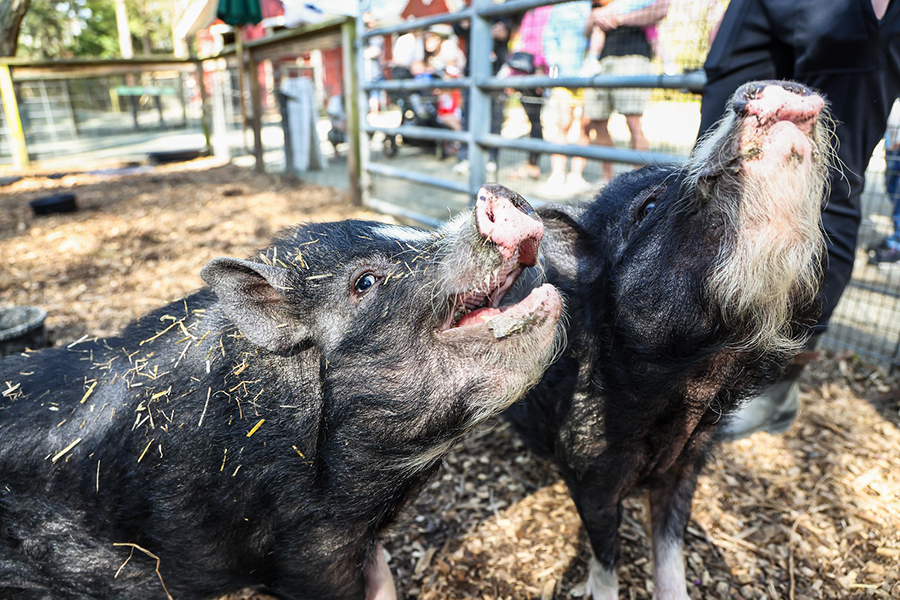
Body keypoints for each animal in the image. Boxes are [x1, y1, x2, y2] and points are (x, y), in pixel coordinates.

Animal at [502, 80, 831, 599]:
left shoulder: (687, 467)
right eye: (649, 207)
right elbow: (605, 559)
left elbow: (671, 551)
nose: (777, 85)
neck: (690, 385)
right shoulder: (587, 470)